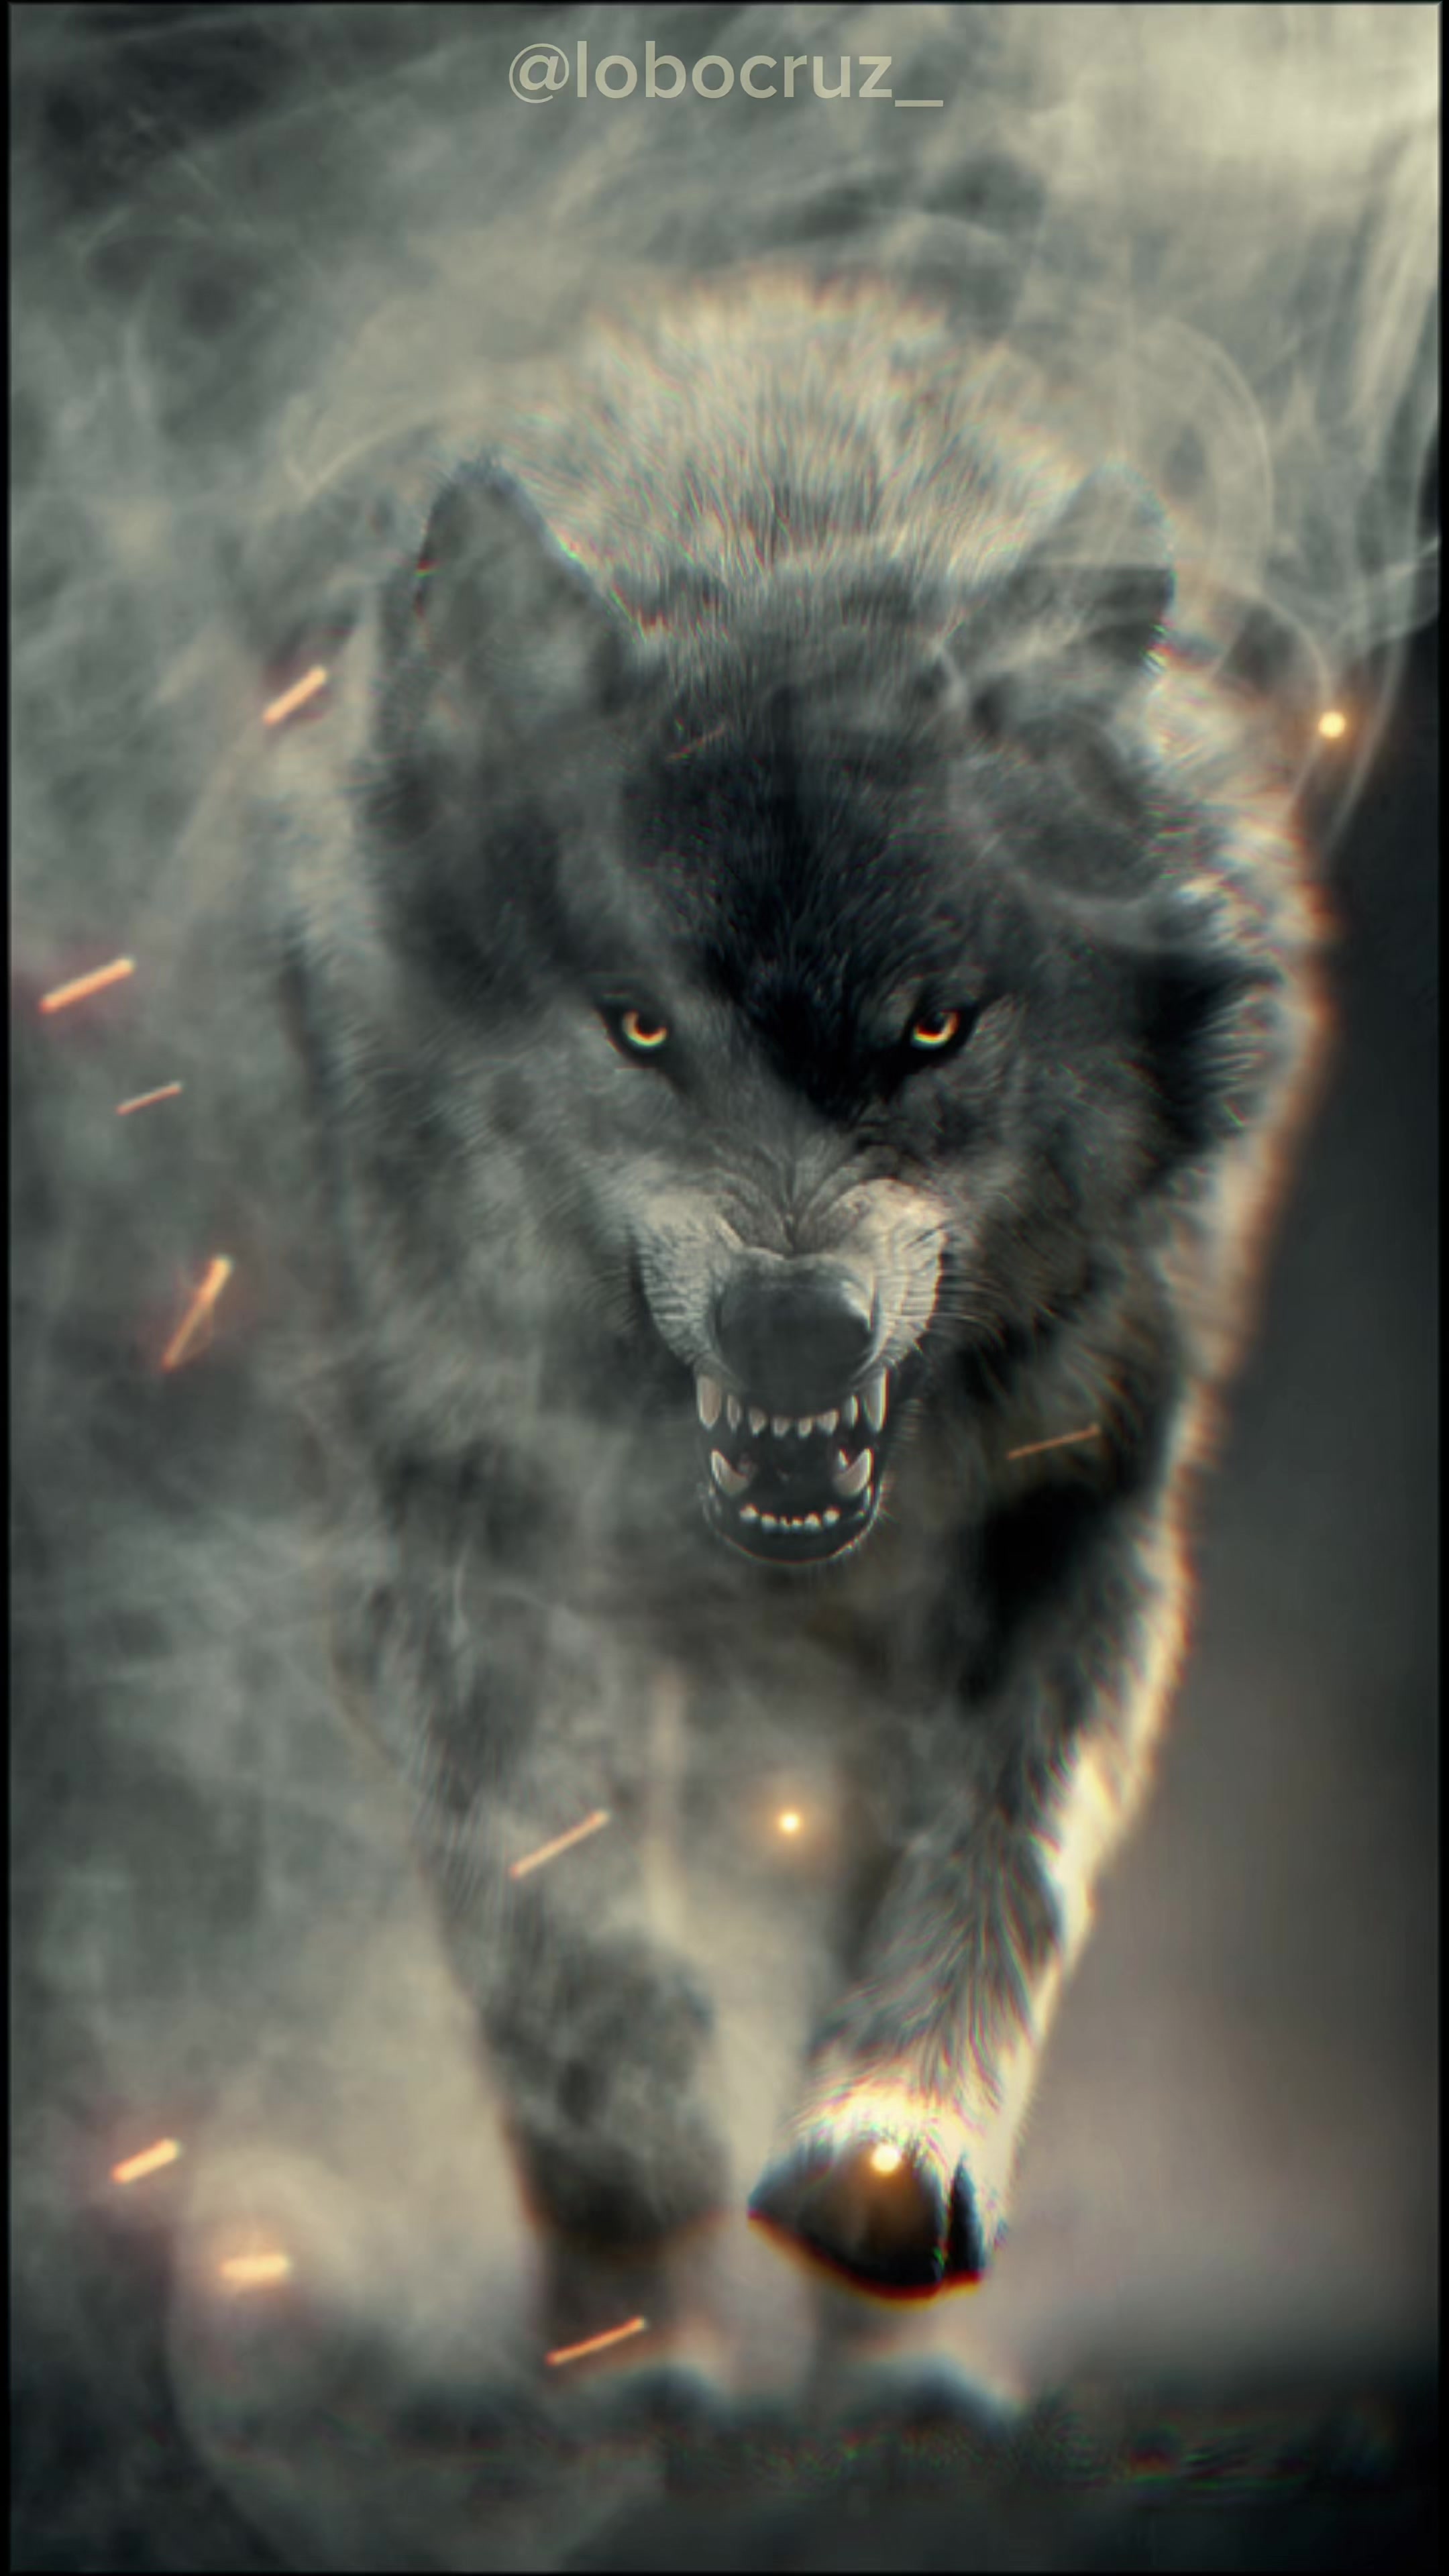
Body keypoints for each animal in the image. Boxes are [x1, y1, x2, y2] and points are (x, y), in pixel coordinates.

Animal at [259, 270, 1322, 2310]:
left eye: (932, 1026)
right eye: (641, 1026)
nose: (794, 1325)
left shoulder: (1073, 1511)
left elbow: (995, 1842)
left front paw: (886, 2136)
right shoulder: (456, 1486)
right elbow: (532, 1838)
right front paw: (620, 2137)